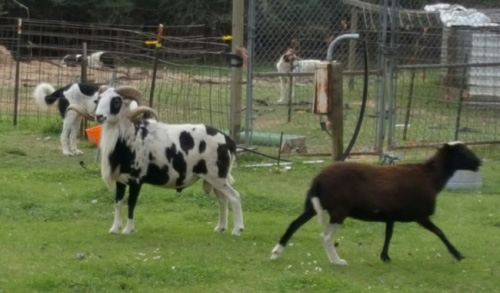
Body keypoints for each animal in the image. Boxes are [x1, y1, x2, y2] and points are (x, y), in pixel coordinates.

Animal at [272, 141, 482, 264]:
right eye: (463, 151)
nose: (479, 163)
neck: (431, 177)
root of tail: (318, 179)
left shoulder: (390, 215)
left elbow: (388, 235)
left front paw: (385, 257)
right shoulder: (421, 215)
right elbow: (440, 232)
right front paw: (458, 254)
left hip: (315, 206)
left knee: (293, 224)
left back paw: (276, 253)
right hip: (339, 210)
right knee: (325, 236)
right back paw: (337, 261)